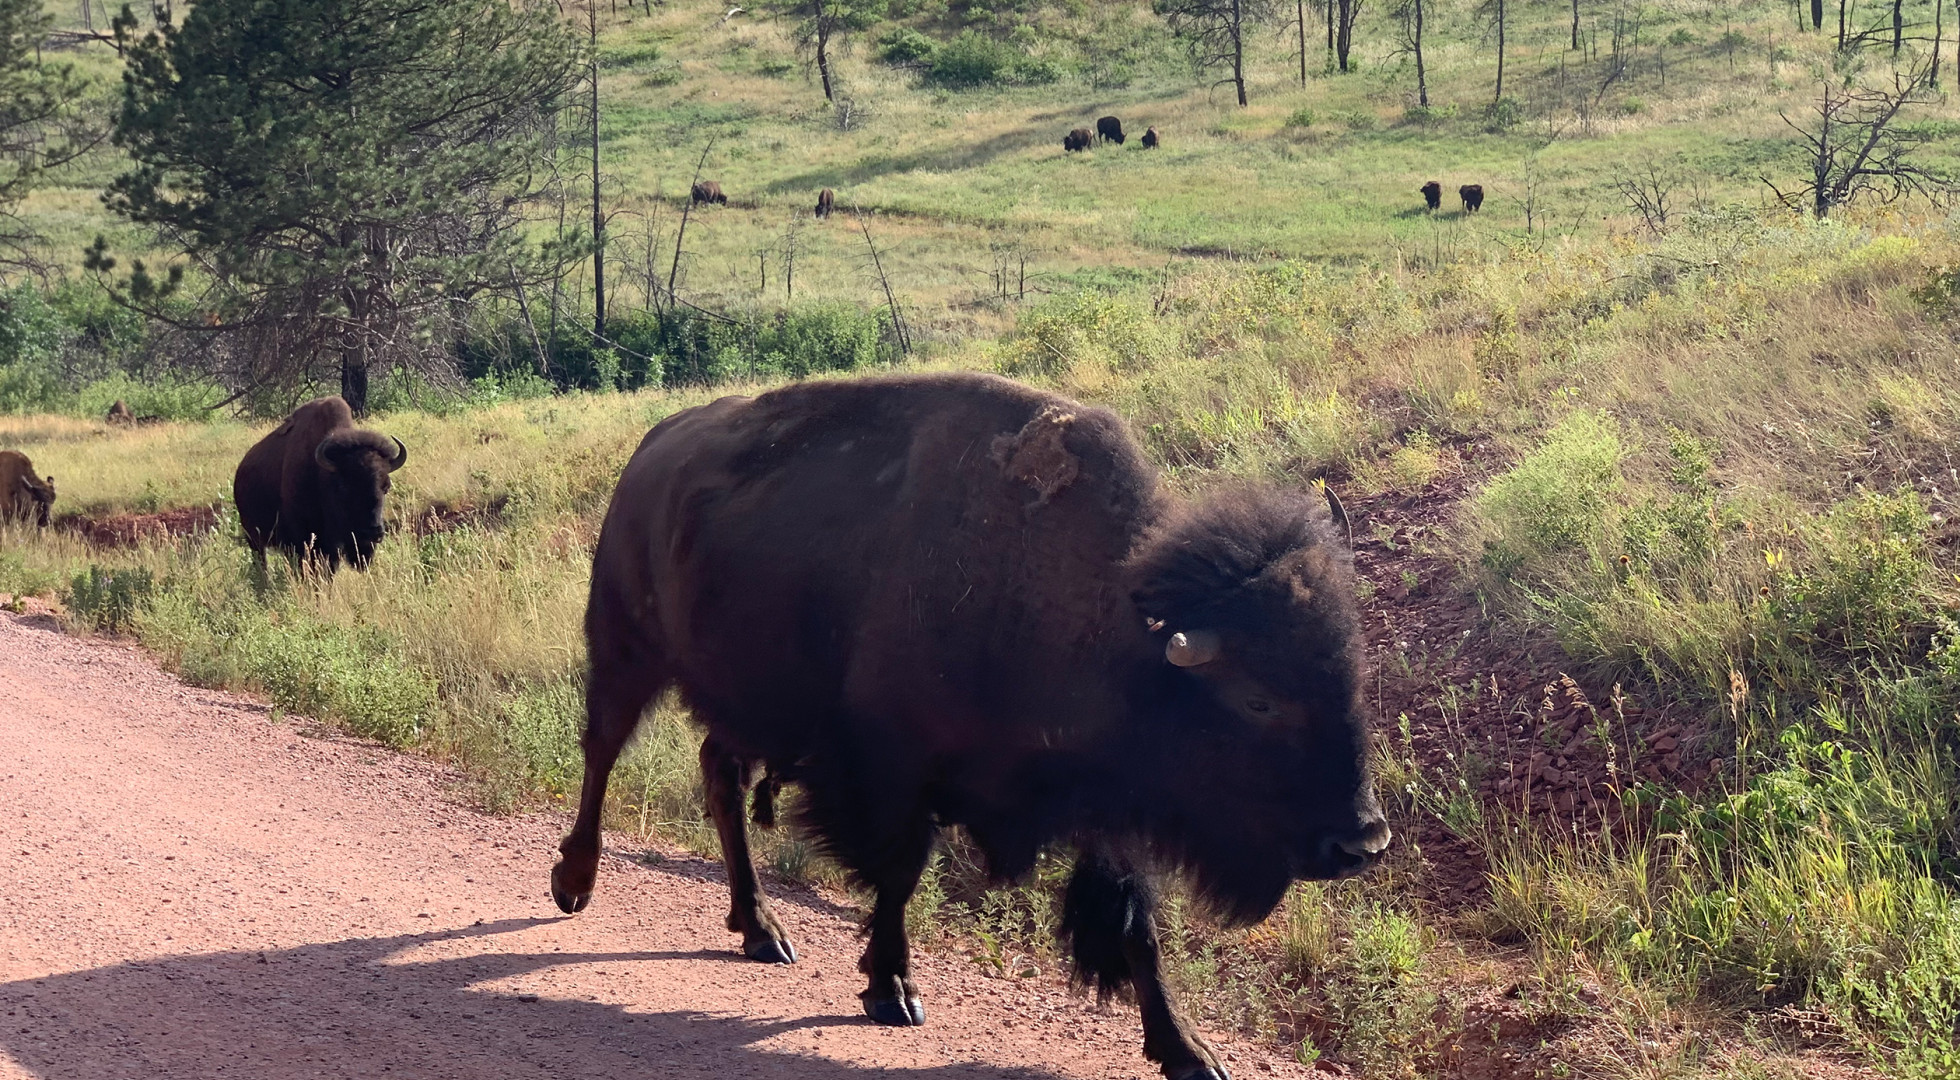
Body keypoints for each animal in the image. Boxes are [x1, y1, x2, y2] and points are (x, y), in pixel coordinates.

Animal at [232, 396, 407, 573]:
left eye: (386, 487)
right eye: (344, 487)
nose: (373, 532)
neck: (322, 477)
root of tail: (241, 468)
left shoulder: (331, 546)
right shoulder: (302, 538)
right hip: (254, 537)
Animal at [551, 372, 1389, 1080]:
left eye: (1353, 675)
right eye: (1257, 699)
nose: (1362, 842)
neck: (1112, 632)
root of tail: (652, 451)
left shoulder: (1105, 806)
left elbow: (1136, 928)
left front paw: (1189, 1052)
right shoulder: (894, 773)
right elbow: (898, 878)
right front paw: (891, 990)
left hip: (740, 697)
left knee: (718, 777)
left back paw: (762, 931)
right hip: (625, 647)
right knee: (602, 751)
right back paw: (575, 883)